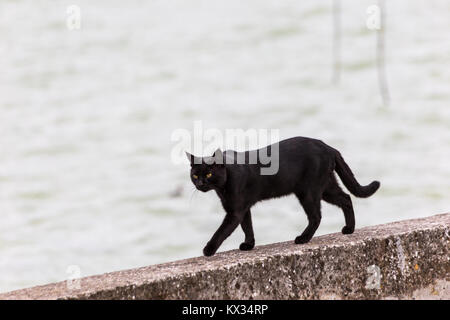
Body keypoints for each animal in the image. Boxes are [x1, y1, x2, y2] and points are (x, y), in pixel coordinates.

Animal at [186, 136, 380, 256]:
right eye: (195, 175)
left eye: (209, 174)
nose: (200, 183)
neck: (222, 187)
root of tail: (328, 147)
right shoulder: (243, 209)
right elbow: (247, 227)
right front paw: (249, 245)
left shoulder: (235, 211)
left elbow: (222, 231)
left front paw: (208, 250)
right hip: (326, 187)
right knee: (346, 198)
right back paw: (349, 229)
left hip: (308, 192)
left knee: (316, 216)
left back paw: (303, 238)